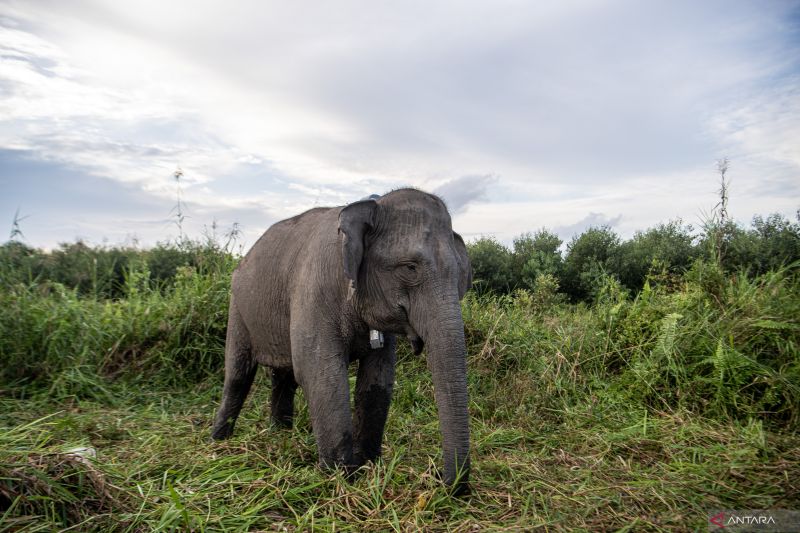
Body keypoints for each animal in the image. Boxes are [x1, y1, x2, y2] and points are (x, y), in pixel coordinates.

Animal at [212, 188, 476, 494]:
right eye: (410, 267)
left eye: (460, 276)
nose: (438, 480)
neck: (372, 204)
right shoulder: (312, 292)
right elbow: (320, 374)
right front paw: (341, 477)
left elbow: (377, 378)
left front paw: (367, 467)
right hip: (237, 307)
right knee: (238, 374)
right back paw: (219, 441)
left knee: (284, 376)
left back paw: (280, 433)